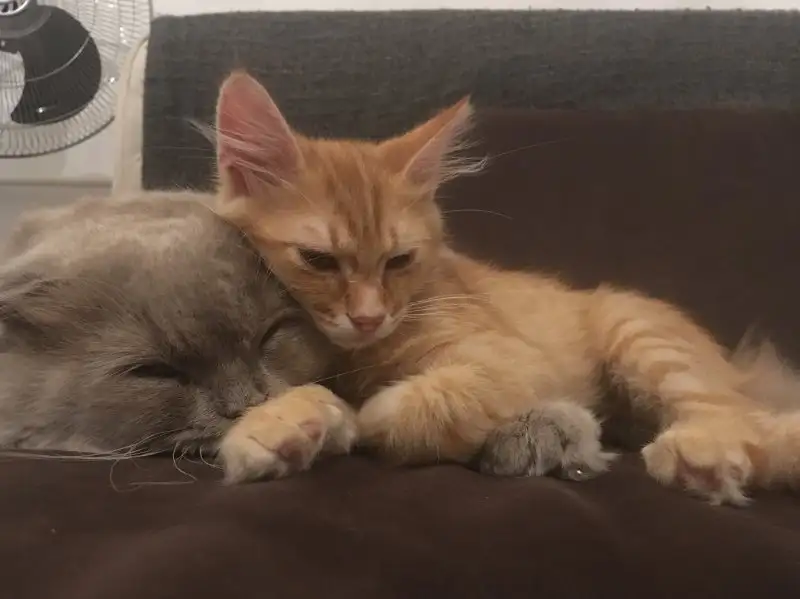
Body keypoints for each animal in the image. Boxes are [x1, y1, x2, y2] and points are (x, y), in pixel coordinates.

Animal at [211, 70, 800, 504]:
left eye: (400, 261)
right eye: (319, 260)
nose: (368, 317)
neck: (355, 354)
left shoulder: (509, 361)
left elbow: (406, 407)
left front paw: (359, 414)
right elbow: (306, 400)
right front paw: (280, 431)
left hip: (639, 334)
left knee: (745, 422)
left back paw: (702, 456)